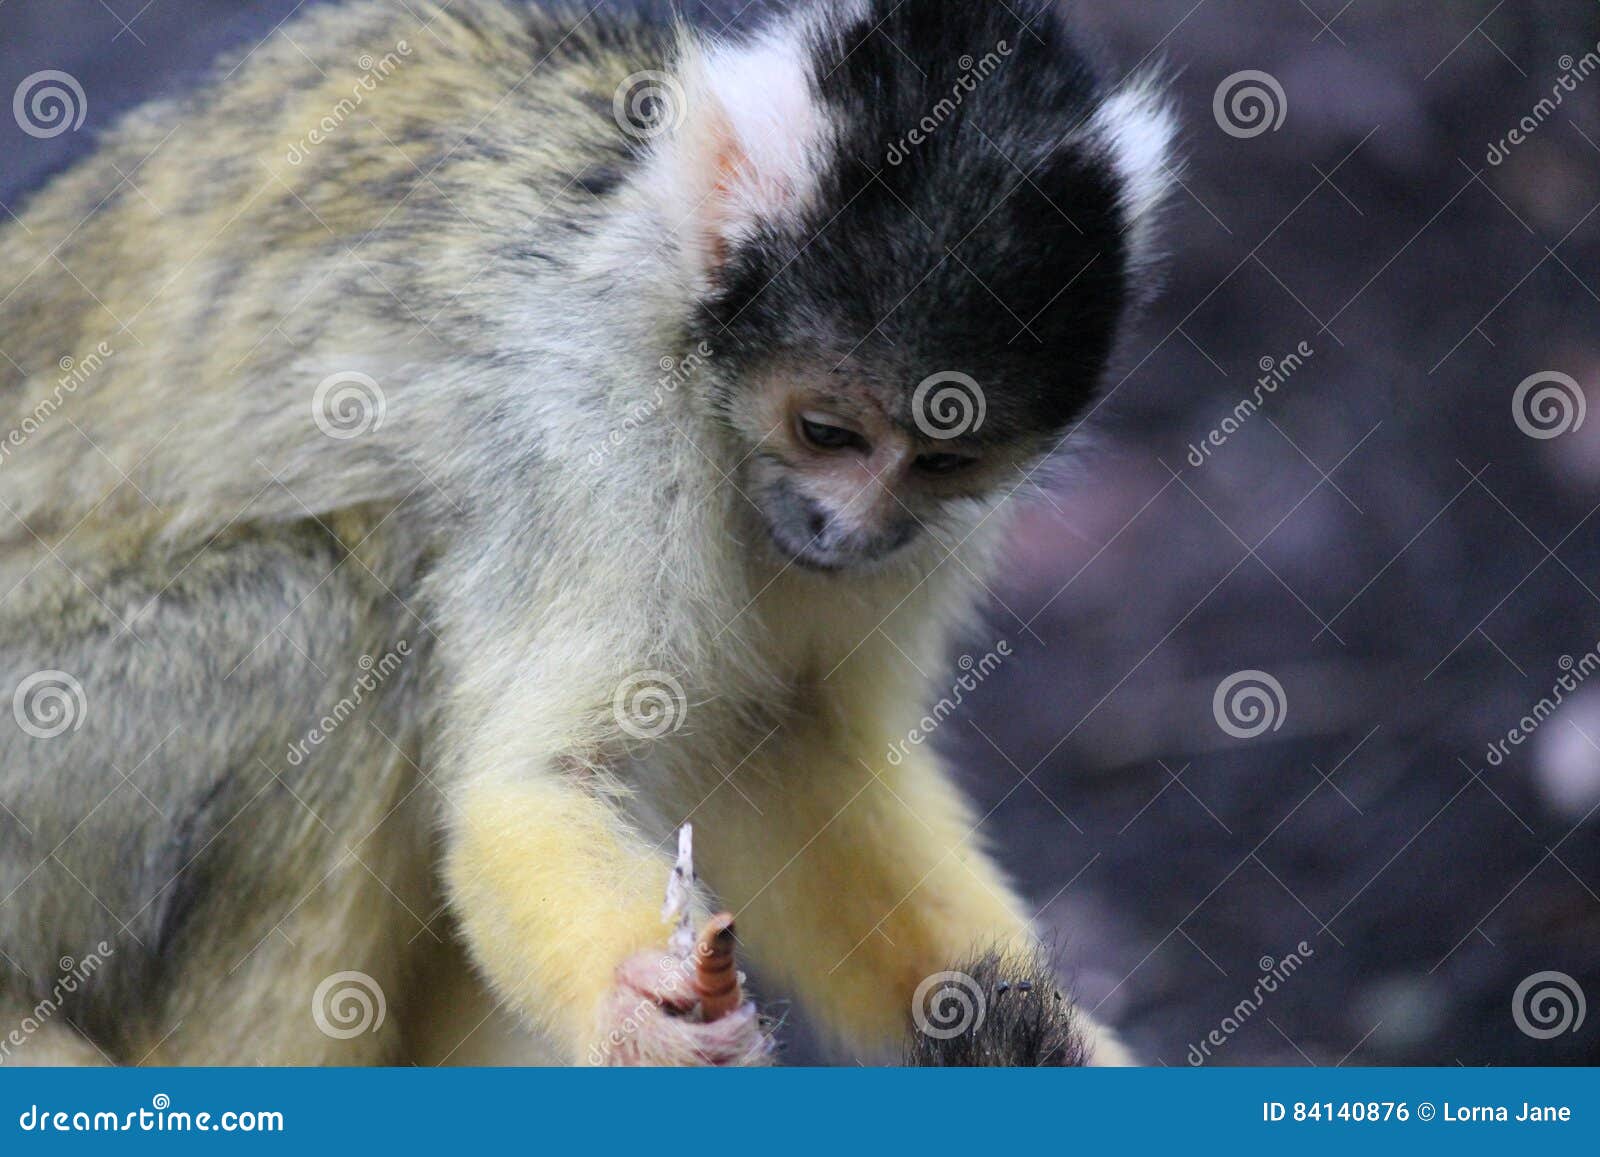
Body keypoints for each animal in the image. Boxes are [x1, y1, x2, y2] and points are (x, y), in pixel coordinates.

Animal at [0, 0, 1173, 1066]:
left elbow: (795, 746)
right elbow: (532, 779)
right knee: (320, 608)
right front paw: (638, 1005)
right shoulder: (598, 400)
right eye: (827, 431)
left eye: (940, 458)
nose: (847, 530)